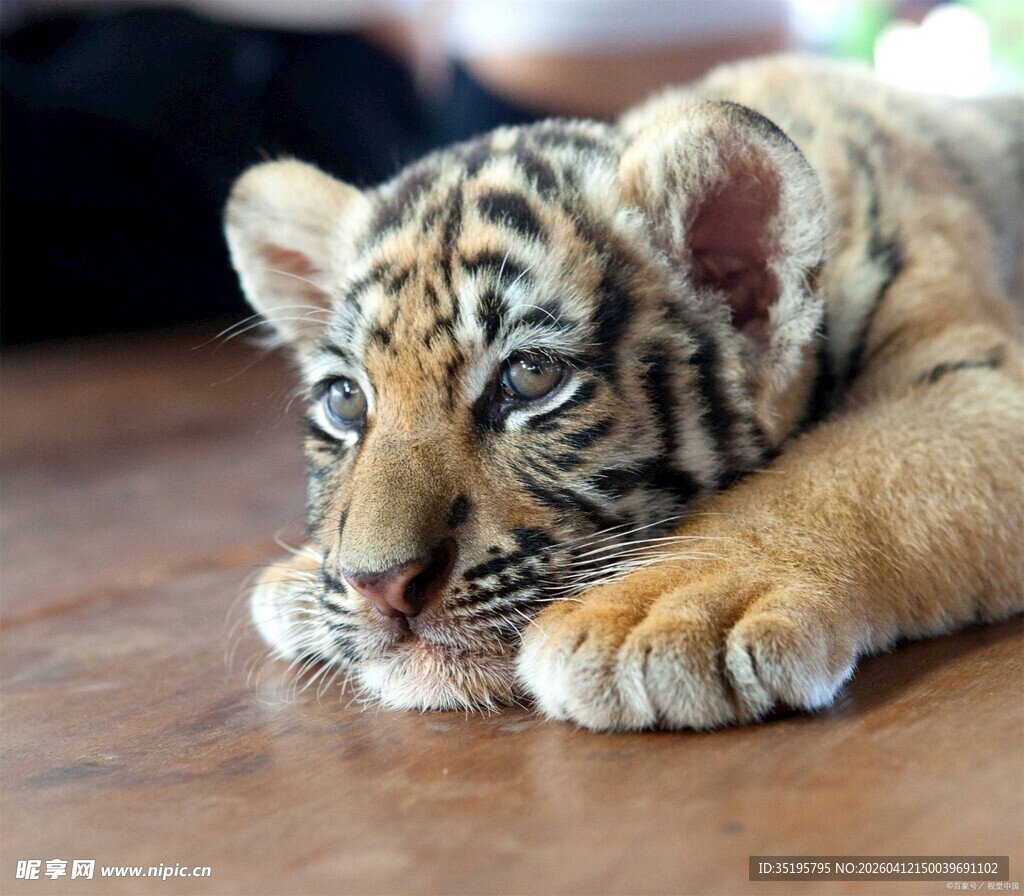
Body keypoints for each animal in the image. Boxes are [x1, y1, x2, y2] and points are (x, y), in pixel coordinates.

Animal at [224, 55, 1023, 731]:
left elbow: (846, 470)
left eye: (530, 378)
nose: (378, 586)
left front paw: (657, 614)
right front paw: (300, 580)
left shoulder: (978, 390)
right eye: (346, 401)